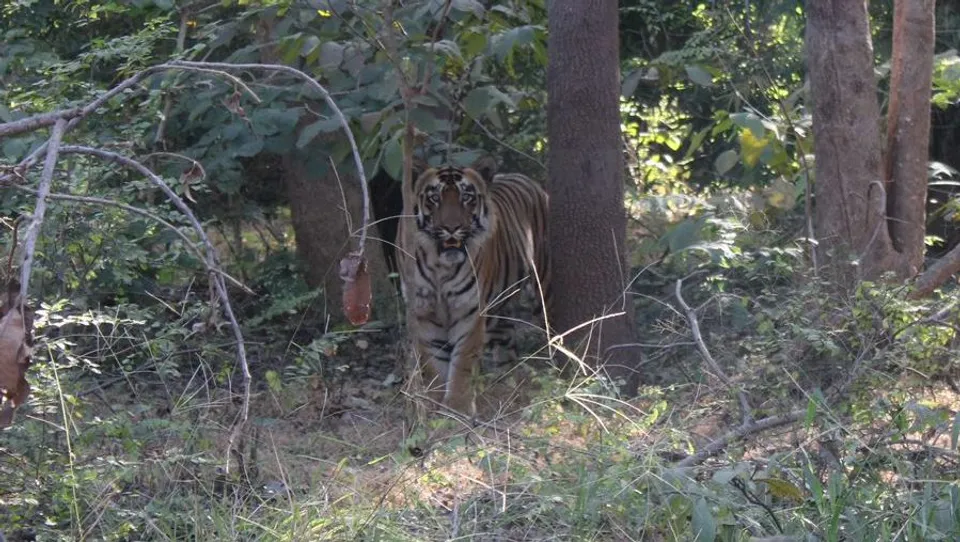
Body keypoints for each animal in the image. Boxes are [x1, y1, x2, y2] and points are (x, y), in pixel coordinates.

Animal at [397, 157, 550, 416]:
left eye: (466, 197)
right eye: (434, 197)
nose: (451, 227)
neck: (440, 266)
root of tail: (525, 178)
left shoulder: (469, 311)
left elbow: (462, 362)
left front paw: (457, 408)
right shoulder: (424, 314)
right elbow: (434, 363)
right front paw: (435, 406)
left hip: (543, 286)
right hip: (499, 312)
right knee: (506, 347)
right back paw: (505, 386)